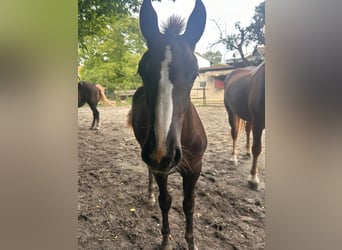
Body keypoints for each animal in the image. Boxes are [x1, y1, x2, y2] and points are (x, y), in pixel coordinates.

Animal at [127, 0, 206, 249]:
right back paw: (150, 194)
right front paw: (165, 241)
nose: (162, 153)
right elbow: (166, 201)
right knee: (150, 174)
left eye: (194, 72)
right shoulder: (159, 167)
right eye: (142, 70)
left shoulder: (194, 168)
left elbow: (189, 204)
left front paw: (191, 242)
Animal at [223, 61, 266, 190]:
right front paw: (253, 179)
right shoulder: (258, 124)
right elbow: (257, 149)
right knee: (235, 133)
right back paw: (233, 158)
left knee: (247, 130)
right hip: (232, 113)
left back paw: (247, 152)